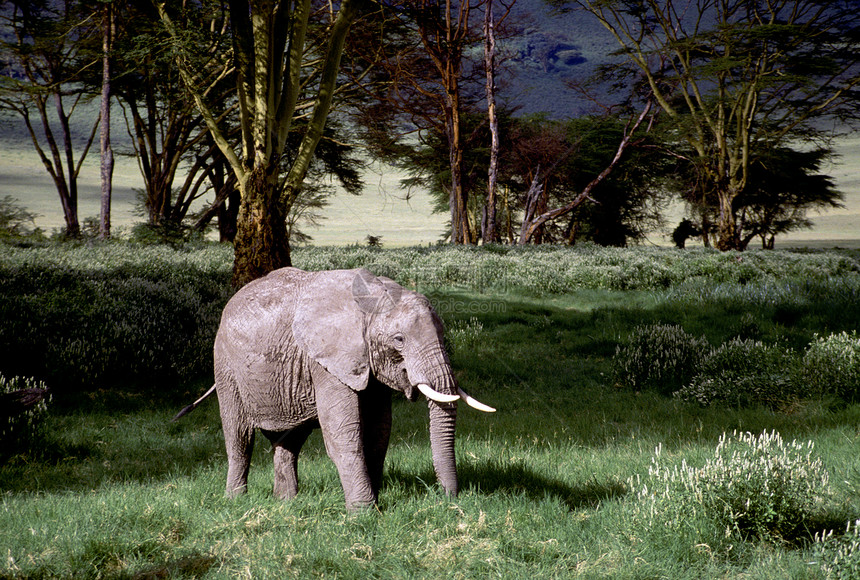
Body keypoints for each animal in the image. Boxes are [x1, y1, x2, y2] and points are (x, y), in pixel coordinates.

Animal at [172, 266, 494, 510]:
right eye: (399, 340)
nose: (447, 500)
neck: (372, 297)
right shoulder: (326, 361)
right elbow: (343, 434)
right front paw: (364, 513)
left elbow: (379, 430)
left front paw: (374, 502)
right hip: (226, 365)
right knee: (239, 436)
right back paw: (236, 501)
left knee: (291, 437)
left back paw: (286, 502)